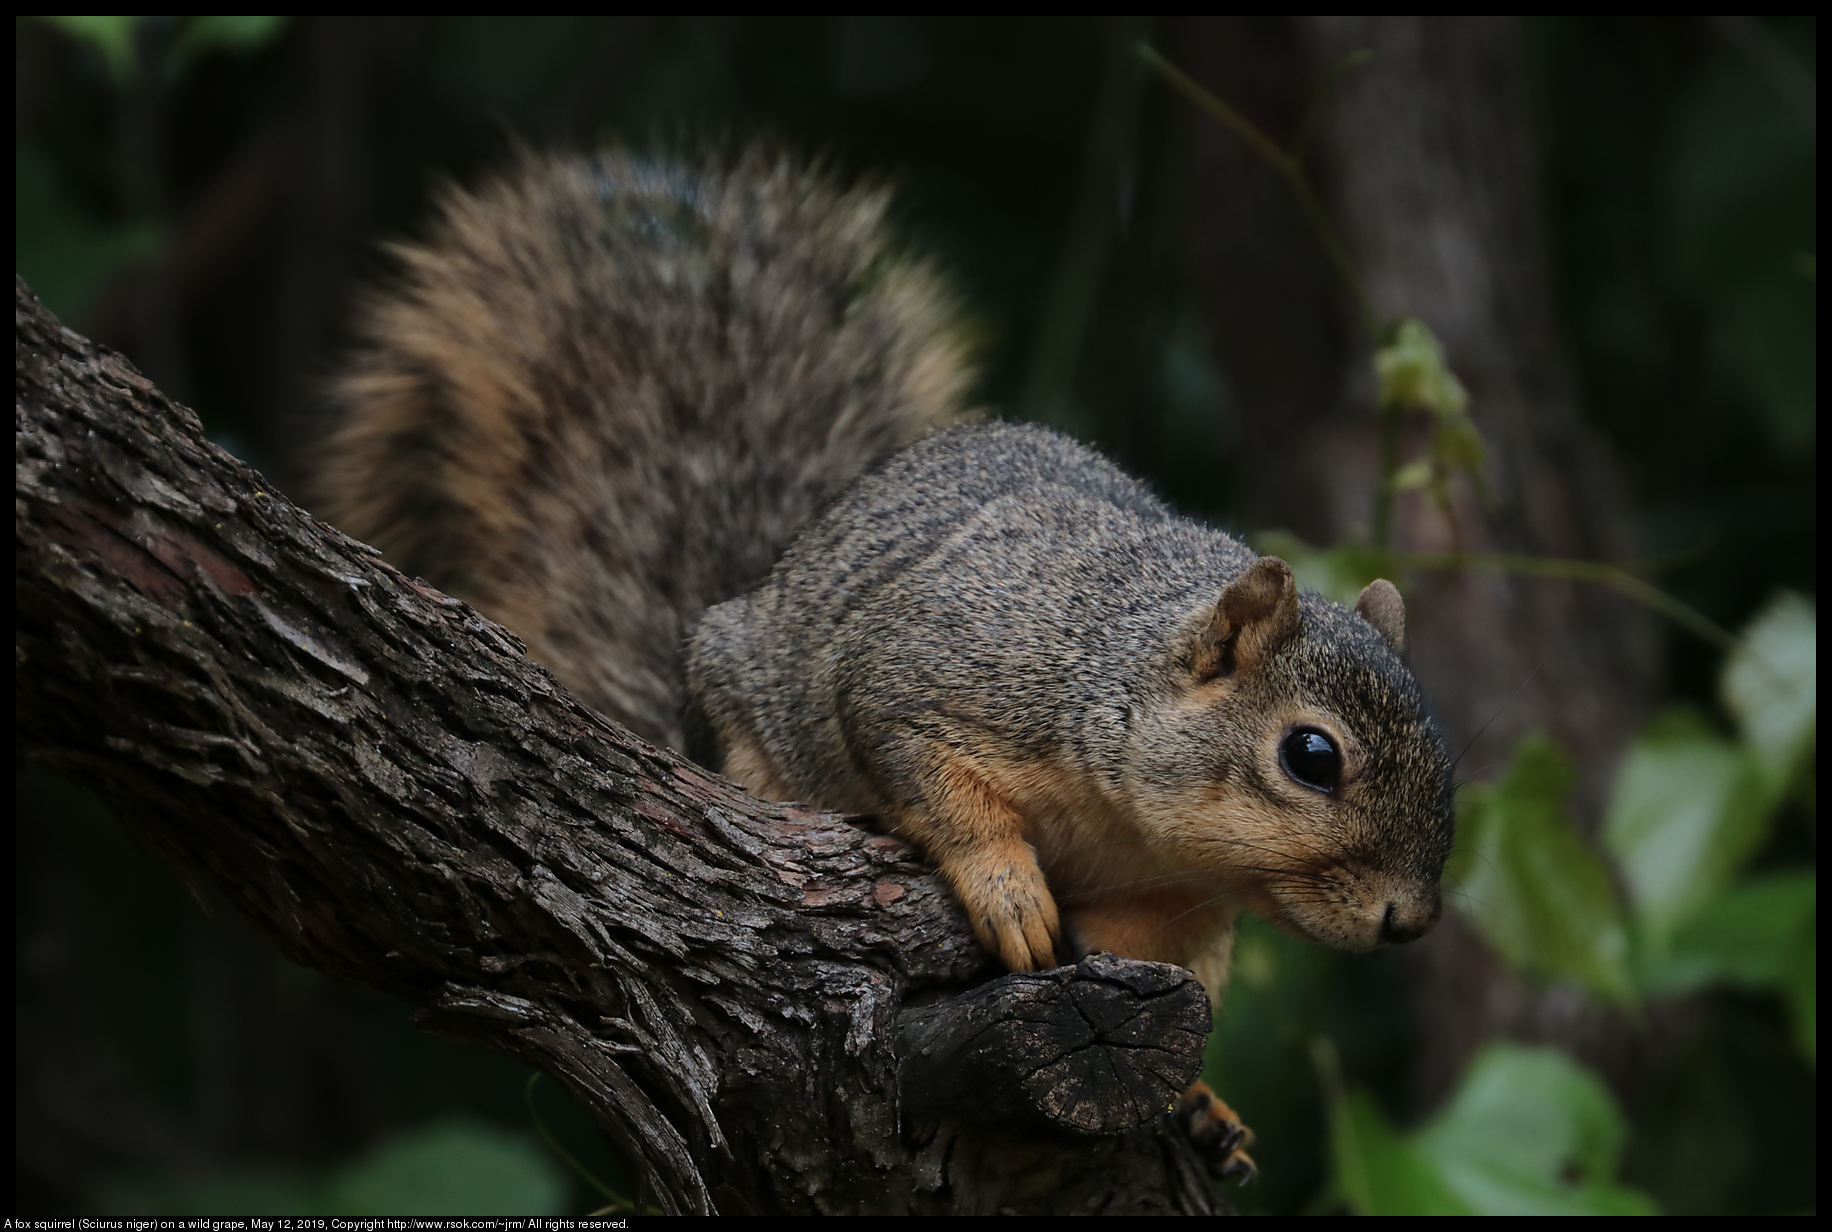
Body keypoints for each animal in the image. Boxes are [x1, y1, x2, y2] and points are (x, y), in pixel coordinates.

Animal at [322, 149, 1450, 1180]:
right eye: (1311, 756)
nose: (1409, 922)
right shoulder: (933, 673)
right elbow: (926, 768)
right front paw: (1009, 893)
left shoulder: (1187, 906)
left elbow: (1162, 960)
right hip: (746, 719)